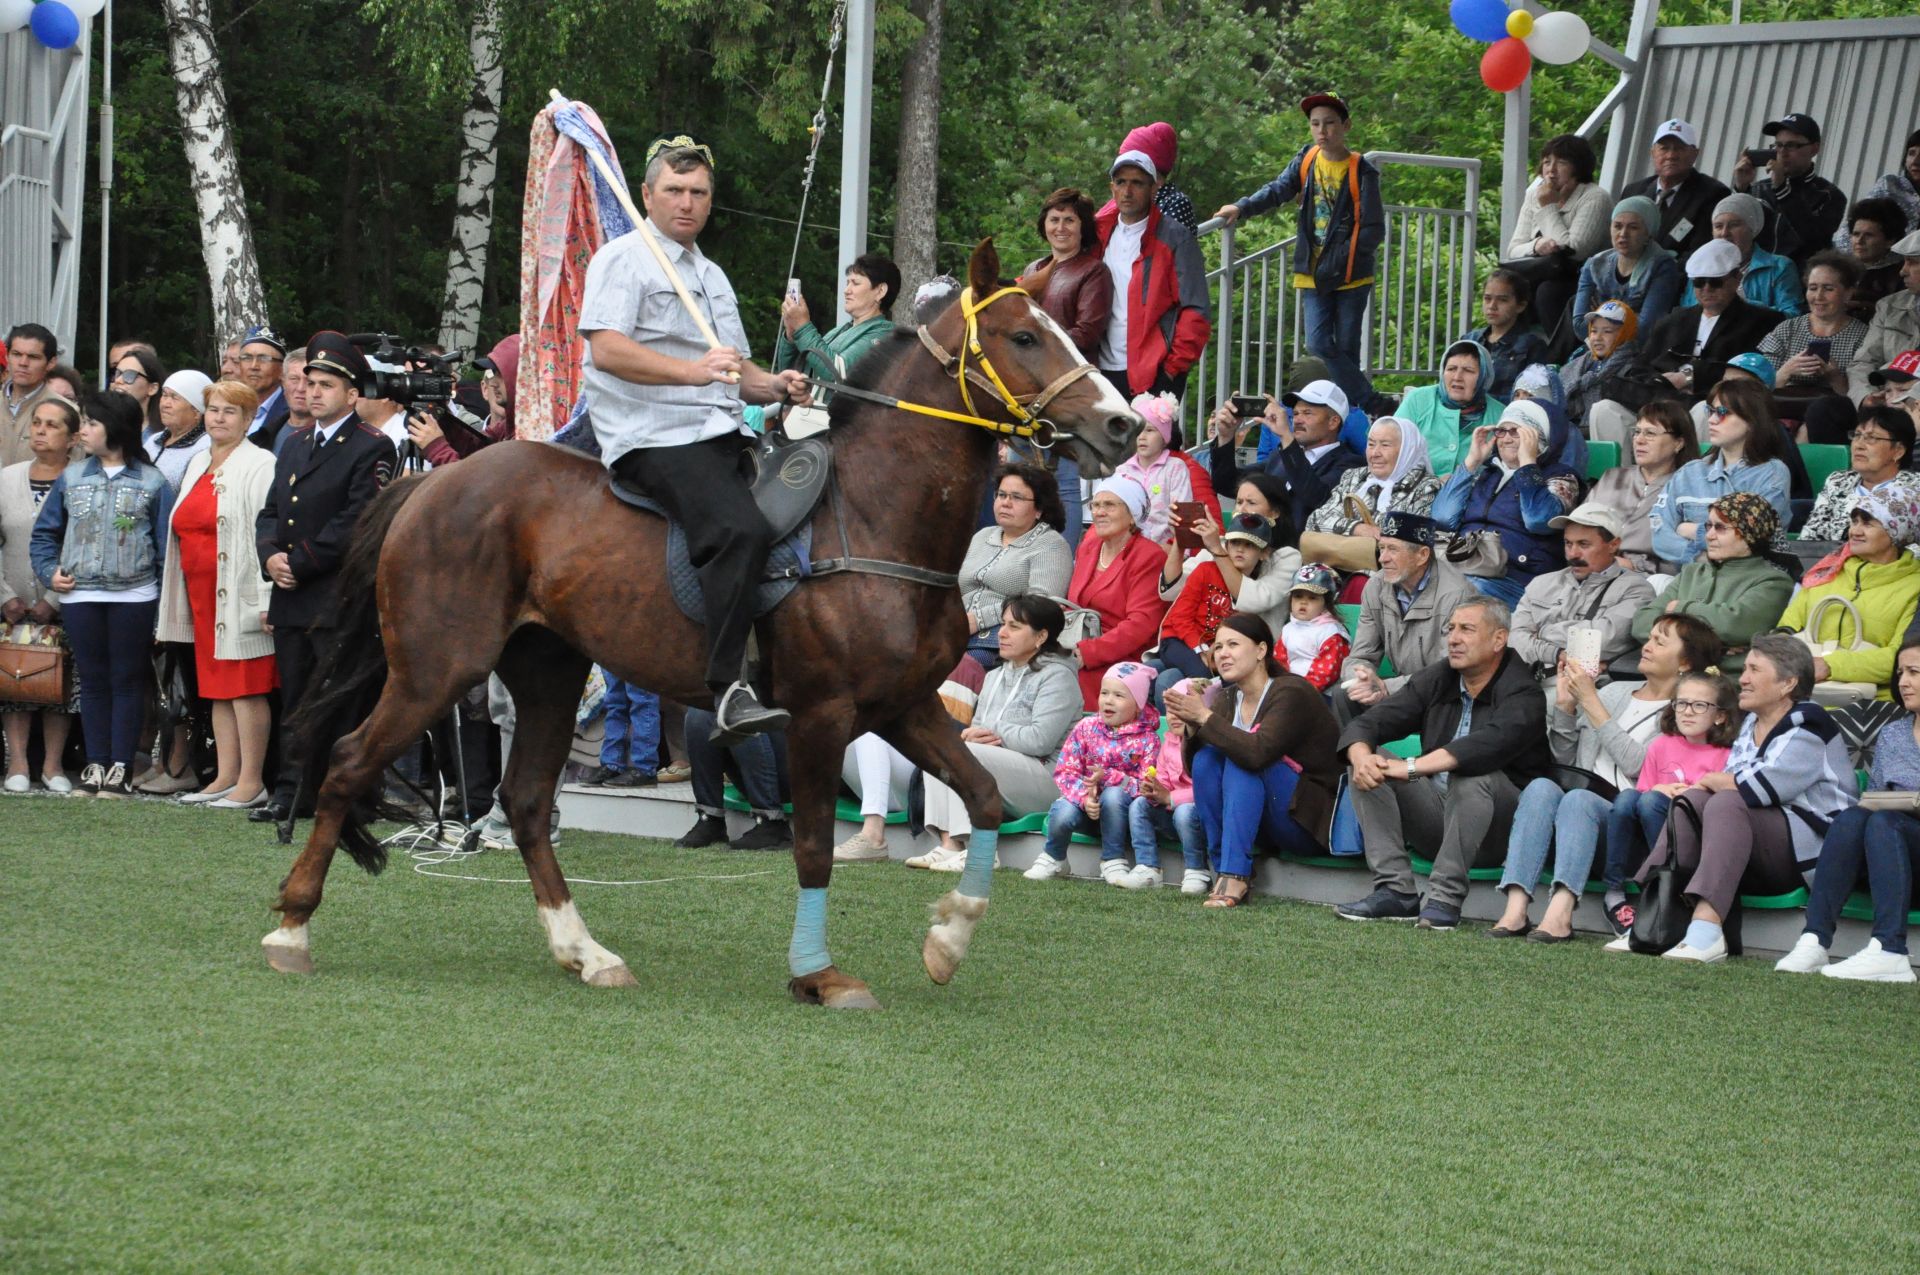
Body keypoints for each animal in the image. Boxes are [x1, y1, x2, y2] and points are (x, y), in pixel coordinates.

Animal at [266, 241, 1136, 1006]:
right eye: (1024, 336)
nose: (1123, 424)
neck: (874, 515)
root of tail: (432, 485)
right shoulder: (821, 715)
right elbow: (814, 846)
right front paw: (819, 974)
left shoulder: (905, 706)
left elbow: (985, 796)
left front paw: (948, 939)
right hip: (436, 665)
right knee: (348, 761)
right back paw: (291, 927)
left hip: (545, 671)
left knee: (523, 799)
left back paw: (585, 950)